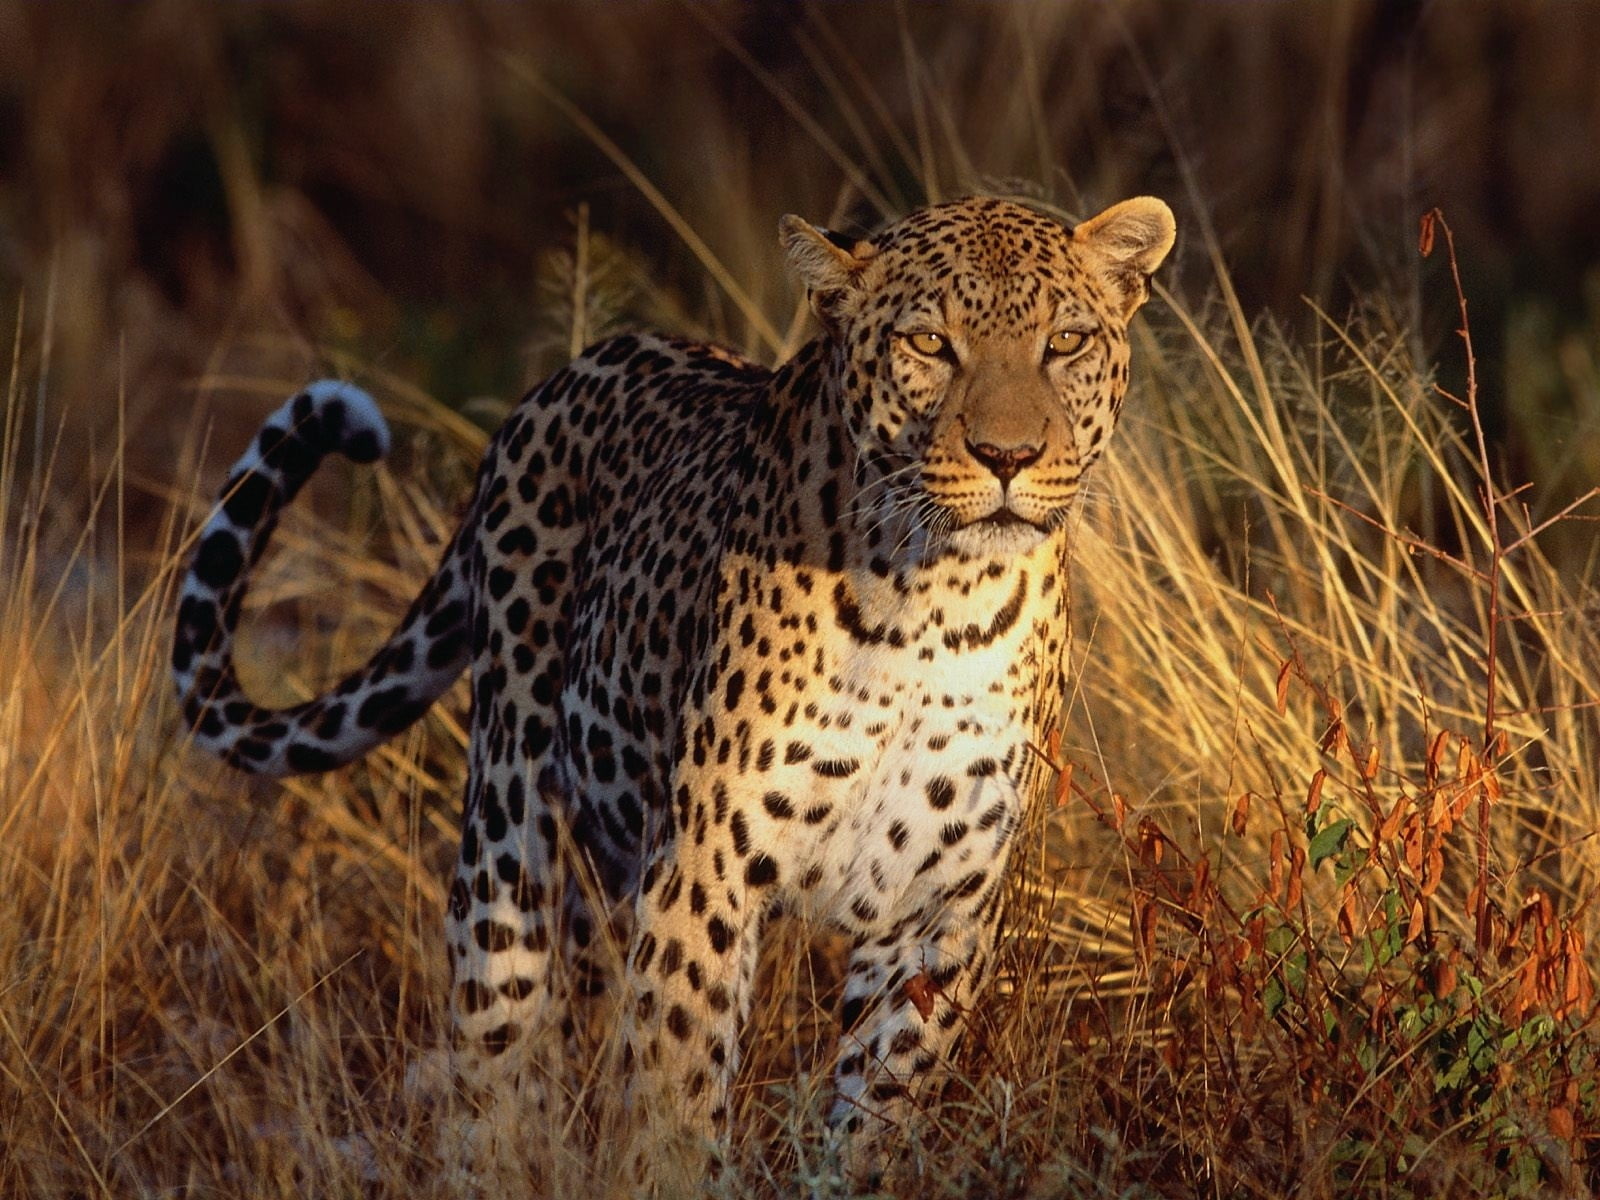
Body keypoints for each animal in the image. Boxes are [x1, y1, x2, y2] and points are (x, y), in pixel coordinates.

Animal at [172, 192, 1177, 1190]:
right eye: (929, 344)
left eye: (1067, 342)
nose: (1008, 455)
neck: (938, 606)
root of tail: (565, 376)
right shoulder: (706, 865)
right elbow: (676, 1088)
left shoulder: (939, 908)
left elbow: (874, 1118)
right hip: (508, 821)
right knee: (492, 1046)